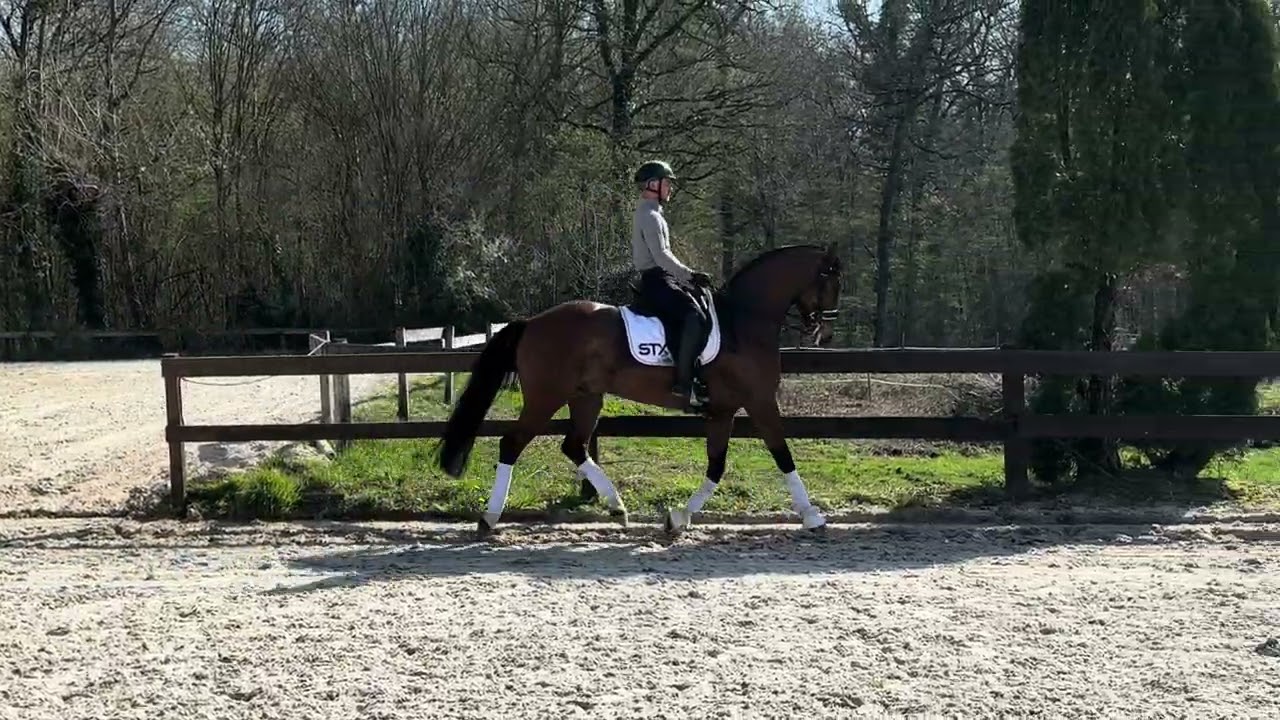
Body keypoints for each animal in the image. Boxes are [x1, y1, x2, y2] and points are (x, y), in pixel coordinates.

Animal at [435, 243, 843, 537]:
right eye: (831, 282)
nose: (825, 334)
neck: (743, 321)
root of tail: (532, 322)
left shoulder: (722, 410)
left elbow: (716, 466)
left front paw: (678, 518)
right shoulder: (759, 403)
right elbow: (783, 455)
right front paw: (813, 517)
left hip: (587, 397)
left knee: (574, 446)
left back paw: (617, 506)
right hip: (545, 398)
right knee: (512, 444)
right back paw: (489, 518)